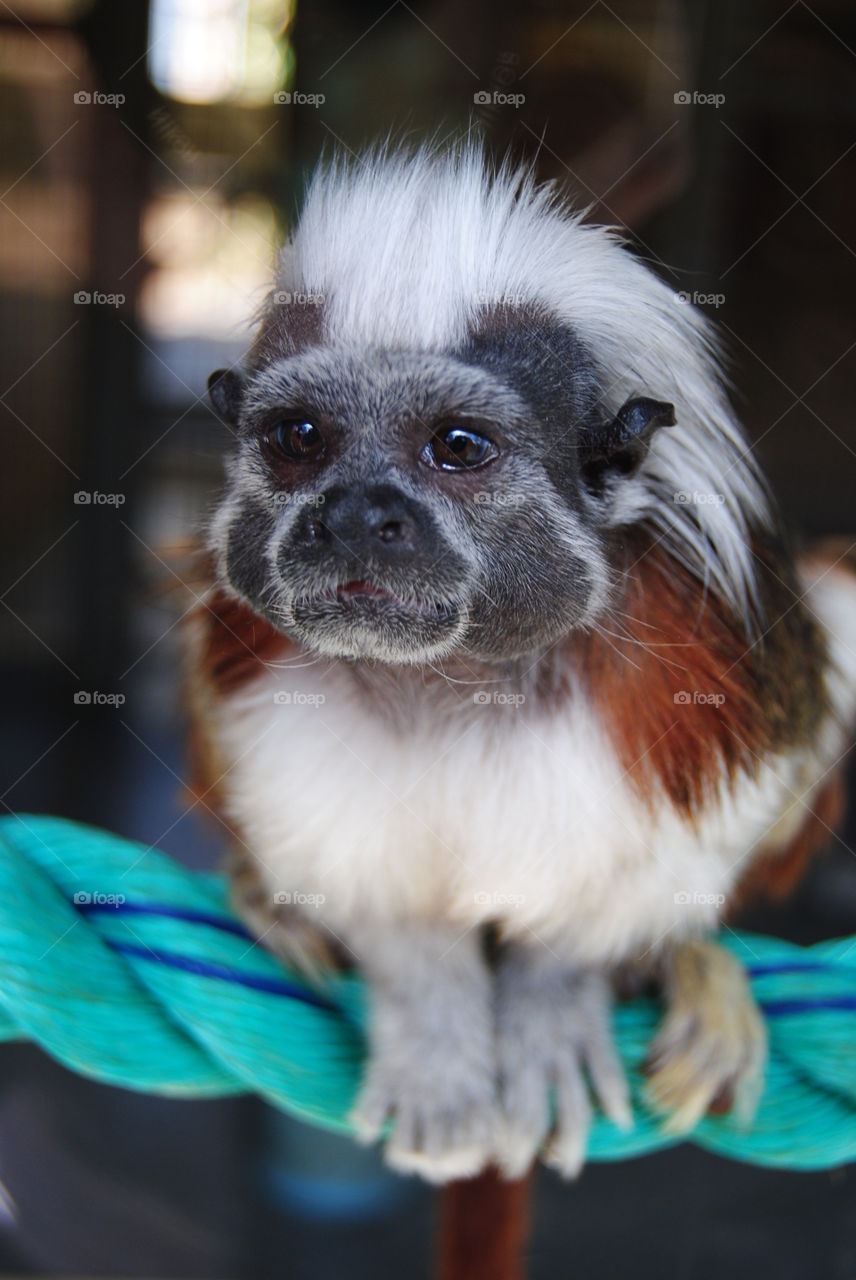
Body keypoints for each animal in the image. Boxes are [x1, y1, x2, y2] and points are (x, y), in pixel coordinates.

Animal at [185, 142, 856, 1184]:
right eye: (300, 439)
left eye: (458, 447)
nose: (358, 516)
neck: (460, 677)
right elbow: (375, 893)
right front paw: (437, 1041)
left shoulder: (699, 671)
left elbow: (637, 879)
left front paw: (555, 1008)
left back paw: (694, 971)